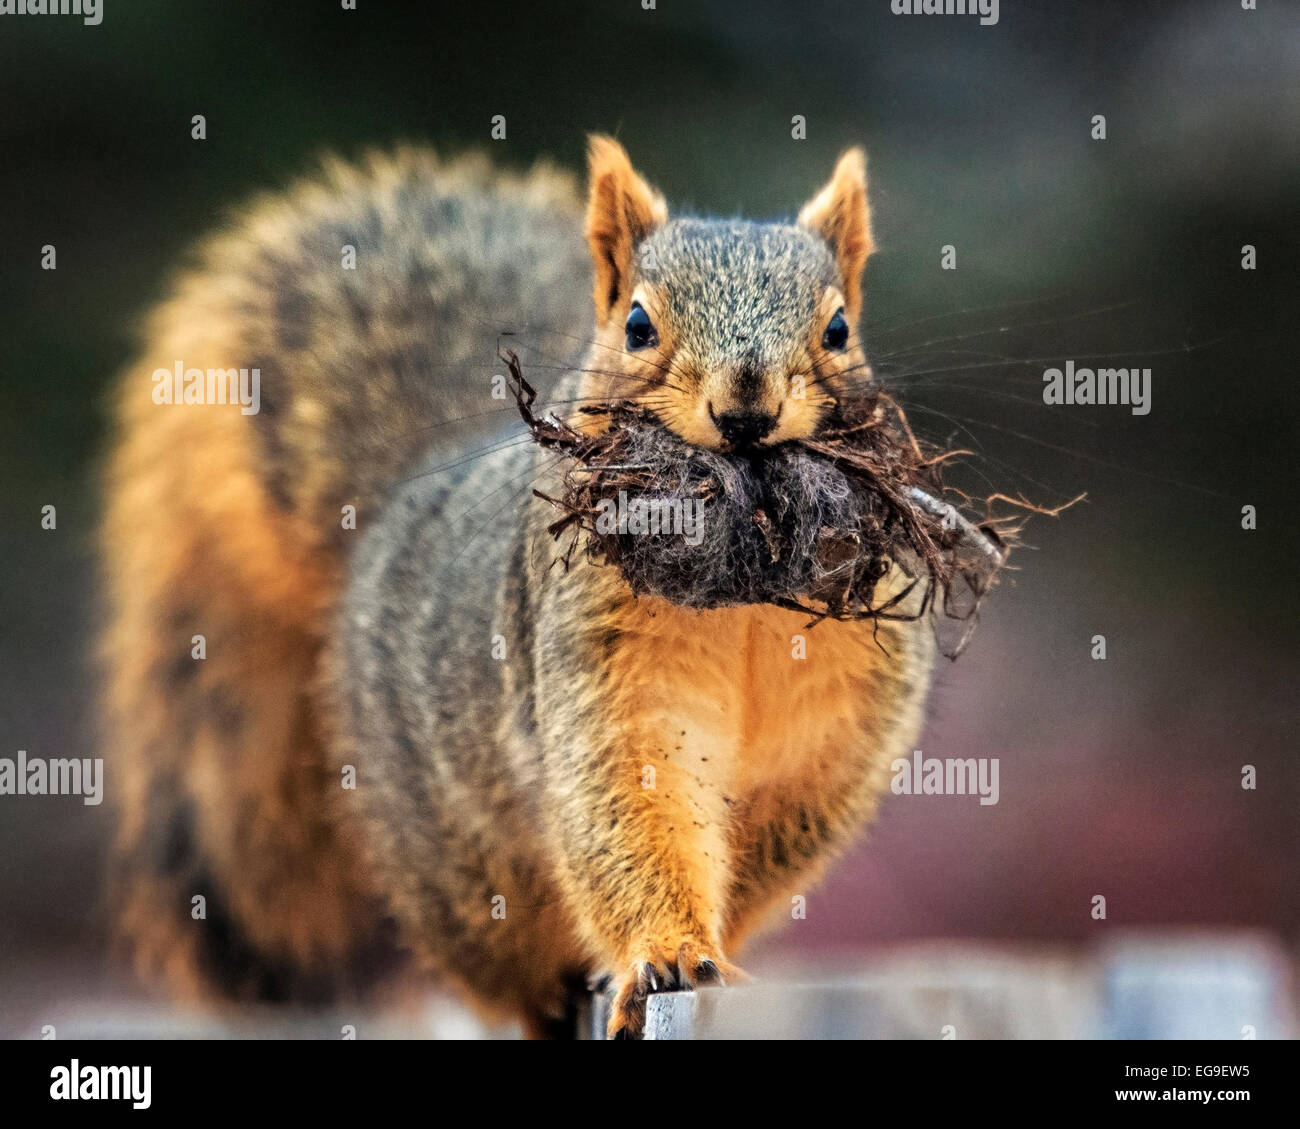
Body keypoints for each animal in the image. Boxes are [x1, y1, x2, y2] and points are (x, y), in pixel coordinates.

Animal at [101, 139, 935, 1040]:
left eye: (839, 329)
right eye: (637, 325)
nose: (745, 409)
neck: (743, 588)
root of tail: (394, 507)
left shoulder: (831, 734)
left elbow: (772, 838)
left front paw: (711, 947)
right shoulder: (598, 671)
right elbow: (625, 806)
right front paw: (667, 956)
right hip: (455, 869)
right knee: (505, 969)